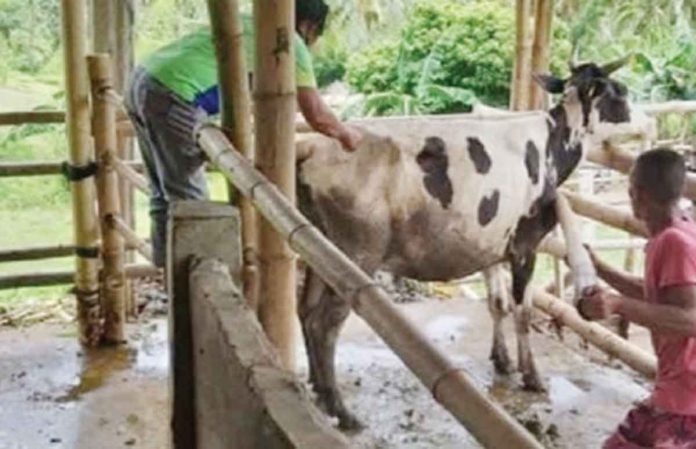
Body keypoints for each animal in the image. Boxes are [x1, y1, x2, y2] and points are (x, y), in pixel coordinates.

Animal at [294, 61, 640, 428]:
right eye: (620, 93)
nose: (643, 120)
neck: (551, 145)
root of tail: (314, 146)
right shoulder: (525, 244)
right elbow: (522, 311)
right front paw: (531, 376)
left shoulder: (489, 246)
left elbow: (498, 304)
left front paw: (502, 360)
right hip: (356, 253)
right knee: (325, 322)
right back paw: (340, 409)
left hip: (317, 244)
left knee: (306, 311)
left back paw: (318, 388)